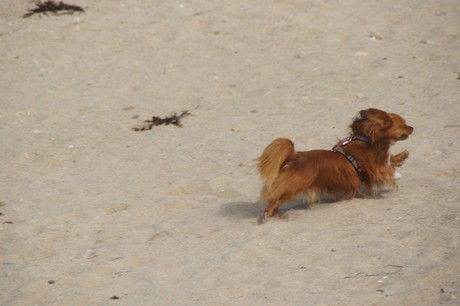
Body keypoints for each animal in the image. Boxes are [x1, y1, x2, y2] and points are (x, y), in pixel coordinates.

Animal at [258, 109, 414, 224]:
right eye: (404, 124)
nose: (413, 127)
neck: (368, 139)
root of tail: (297, 156)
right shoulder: (373, 169)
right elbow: (387, 170)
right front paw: (396, 173)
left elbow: (390, 160)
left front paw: (401, 157)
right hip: (295, 187)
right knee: (277, 199)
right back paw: (267, 214)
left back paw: (276, 213)